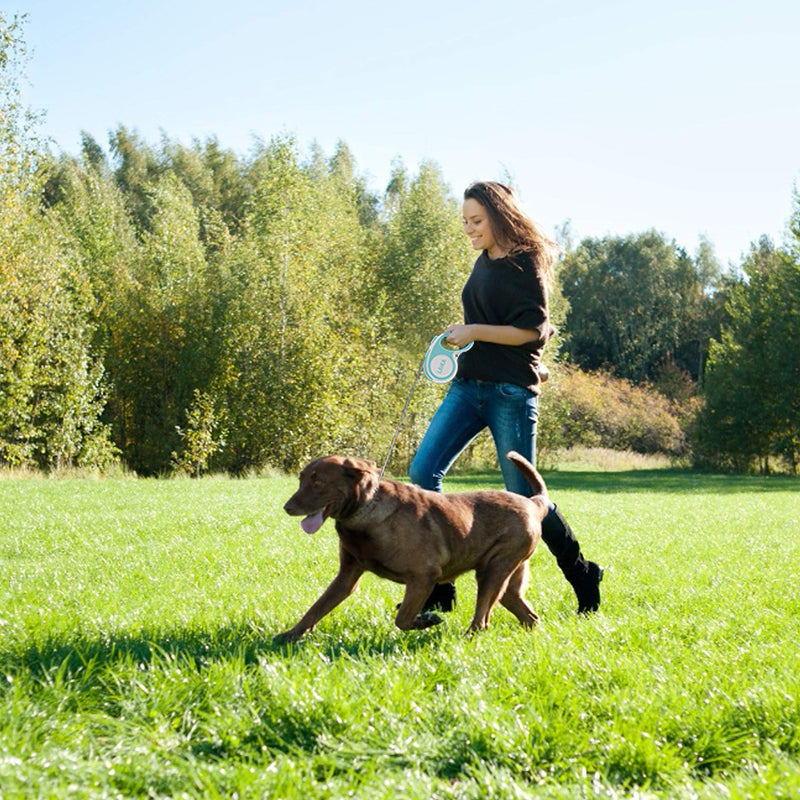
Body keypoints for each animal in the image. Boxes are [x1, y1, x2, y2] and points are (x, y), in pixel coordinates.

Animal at [276, 450, 552, 644]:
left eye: (318, 482)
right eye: (301, 479)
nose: (287, 507)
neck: (365, 511)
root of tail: (535, 503)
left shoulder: (423, 577)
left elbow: (403, 619)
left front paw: (428, 619)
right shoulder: (347, 576)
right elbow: (316, 608)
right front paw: (291, 634)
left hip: (493, 572)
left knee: (482, 620)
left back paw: (466, 639)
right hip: (506, 581)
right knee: (529, 617)